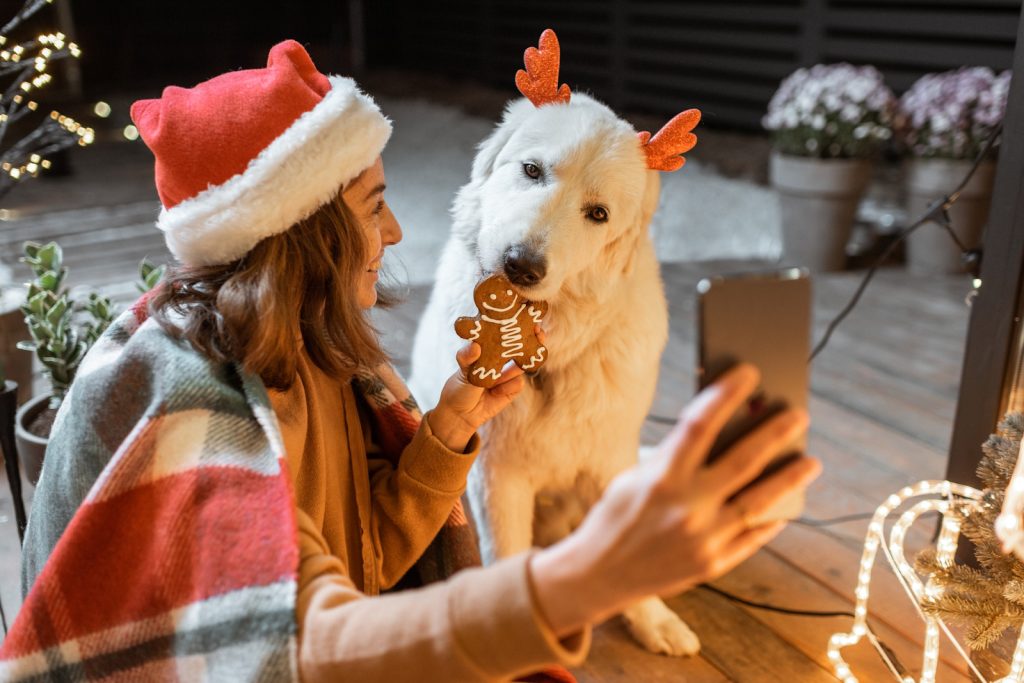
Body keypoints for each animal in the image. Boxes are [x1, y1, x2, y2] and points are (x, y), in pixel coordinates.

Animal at [407, 31, 704, 655]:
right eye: (531, 170)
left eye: (598, 214)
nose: (521, 266)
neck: (553, 341)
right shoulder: (497, 474)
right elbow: (504, 556)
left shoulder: (610, 460)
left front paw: (651, 617)